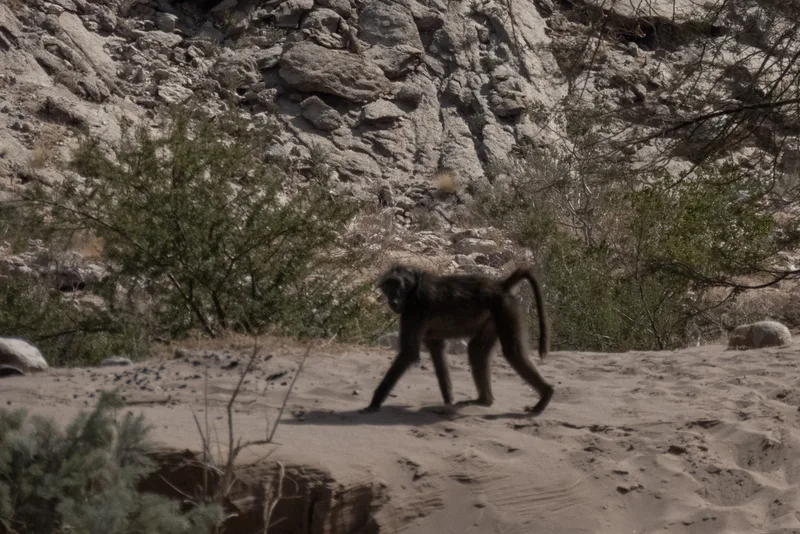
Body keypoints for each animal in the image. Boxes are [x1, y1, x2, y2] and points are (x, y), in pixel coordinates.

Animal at [362, 264, 554, 416]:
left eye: (396, 284)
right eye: (388, 285)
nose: (393, 301)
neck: (414, 287)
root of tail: (500, 286)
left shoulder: (414, 309)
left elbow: (409, 353)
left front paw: (373, 403)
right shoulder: (431, 333)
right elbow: (437, 352)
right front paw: (448, 401)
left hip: (505, 308)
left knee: (512, 352)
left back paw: (545, 396)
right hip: (493, 317)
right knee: (476, 350)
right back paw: (483, 400)